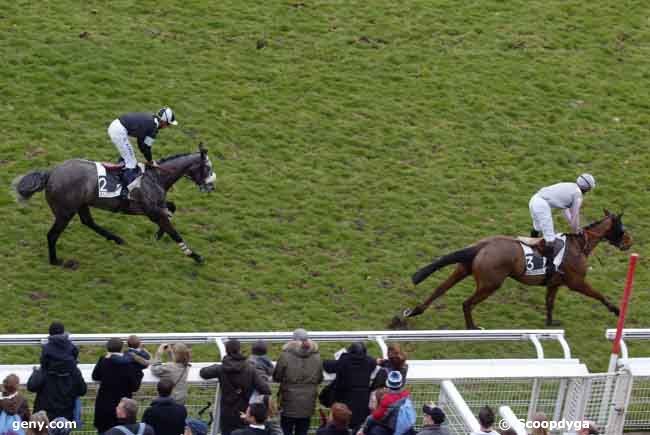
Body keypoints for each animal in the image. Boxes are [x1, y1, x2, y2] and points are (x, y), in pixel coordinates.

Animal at [13, 144, 215, 266]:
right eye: (207, 168)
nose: (212, 186)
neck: (156, 176)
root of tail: (51, 174)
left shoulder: (157, 206)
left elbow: (171, 208)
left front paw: (158, 234)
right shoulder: (151, 211)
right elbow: (174, 231)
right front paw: (195, 256)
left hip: (81, 204)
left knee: (88, 222)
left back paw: (116, 238)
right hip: (65, 212)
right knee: (52, 235)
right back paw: (55, 261)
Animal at [398, 211, 632, 330]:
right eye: (621, 226)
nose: (629, 241)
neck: (578, 245)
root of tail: (482, 245)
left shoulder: (555, 283)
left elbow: (549, 302)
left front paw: (550, 323)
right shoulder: (576, 282)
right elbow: (599, 294)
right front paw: (616, 310)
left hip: (463, 270)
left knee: (439, 289)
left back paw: (410, 313)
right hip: (491, 283)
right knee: (466, 303)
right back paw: (472, 328)